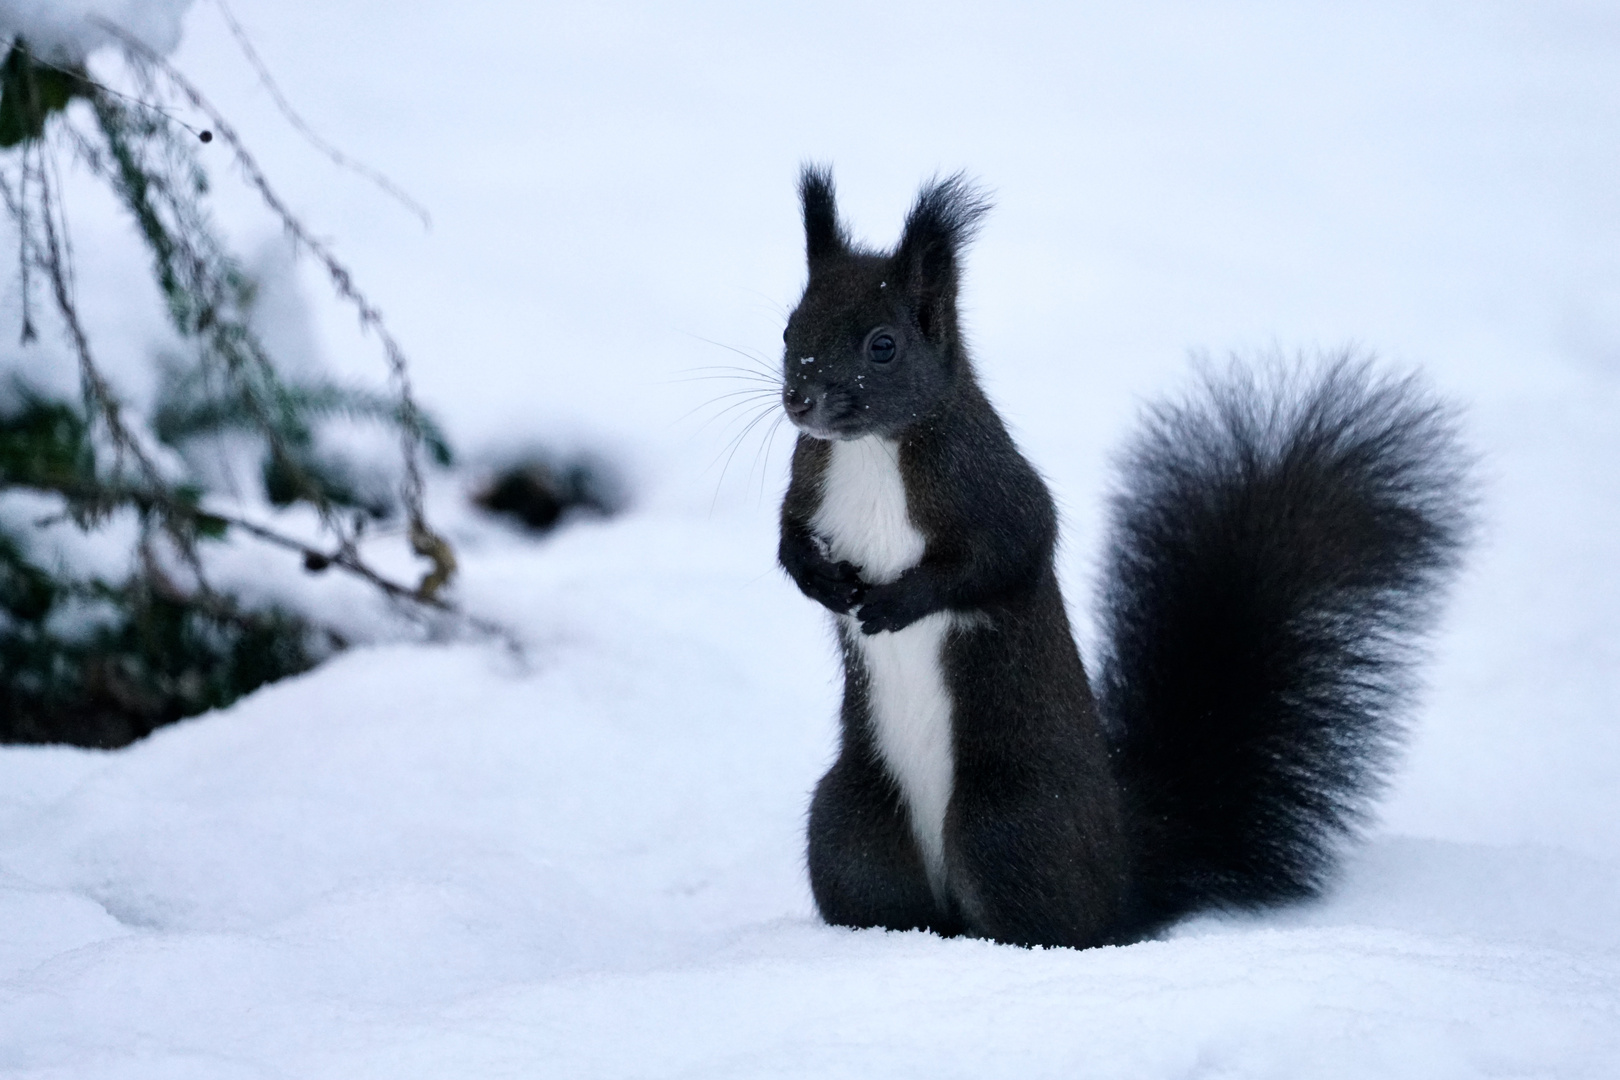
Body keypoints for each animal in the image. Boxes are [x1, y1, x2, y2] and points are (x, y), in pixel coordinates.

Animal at [777, 165, 1477, 952]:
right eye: (790, 327)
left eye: (883, 345)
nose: (800, 397)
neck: (871, 452)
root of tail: (1122, 879)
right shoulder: (808, 484)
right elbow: (786, 537)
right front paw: (819, 581)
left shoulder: (993, 488)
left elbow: (1004, 557)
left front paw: (897, 603)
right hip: (850, 825)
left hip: (1008, 826)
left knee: (1052, 923)